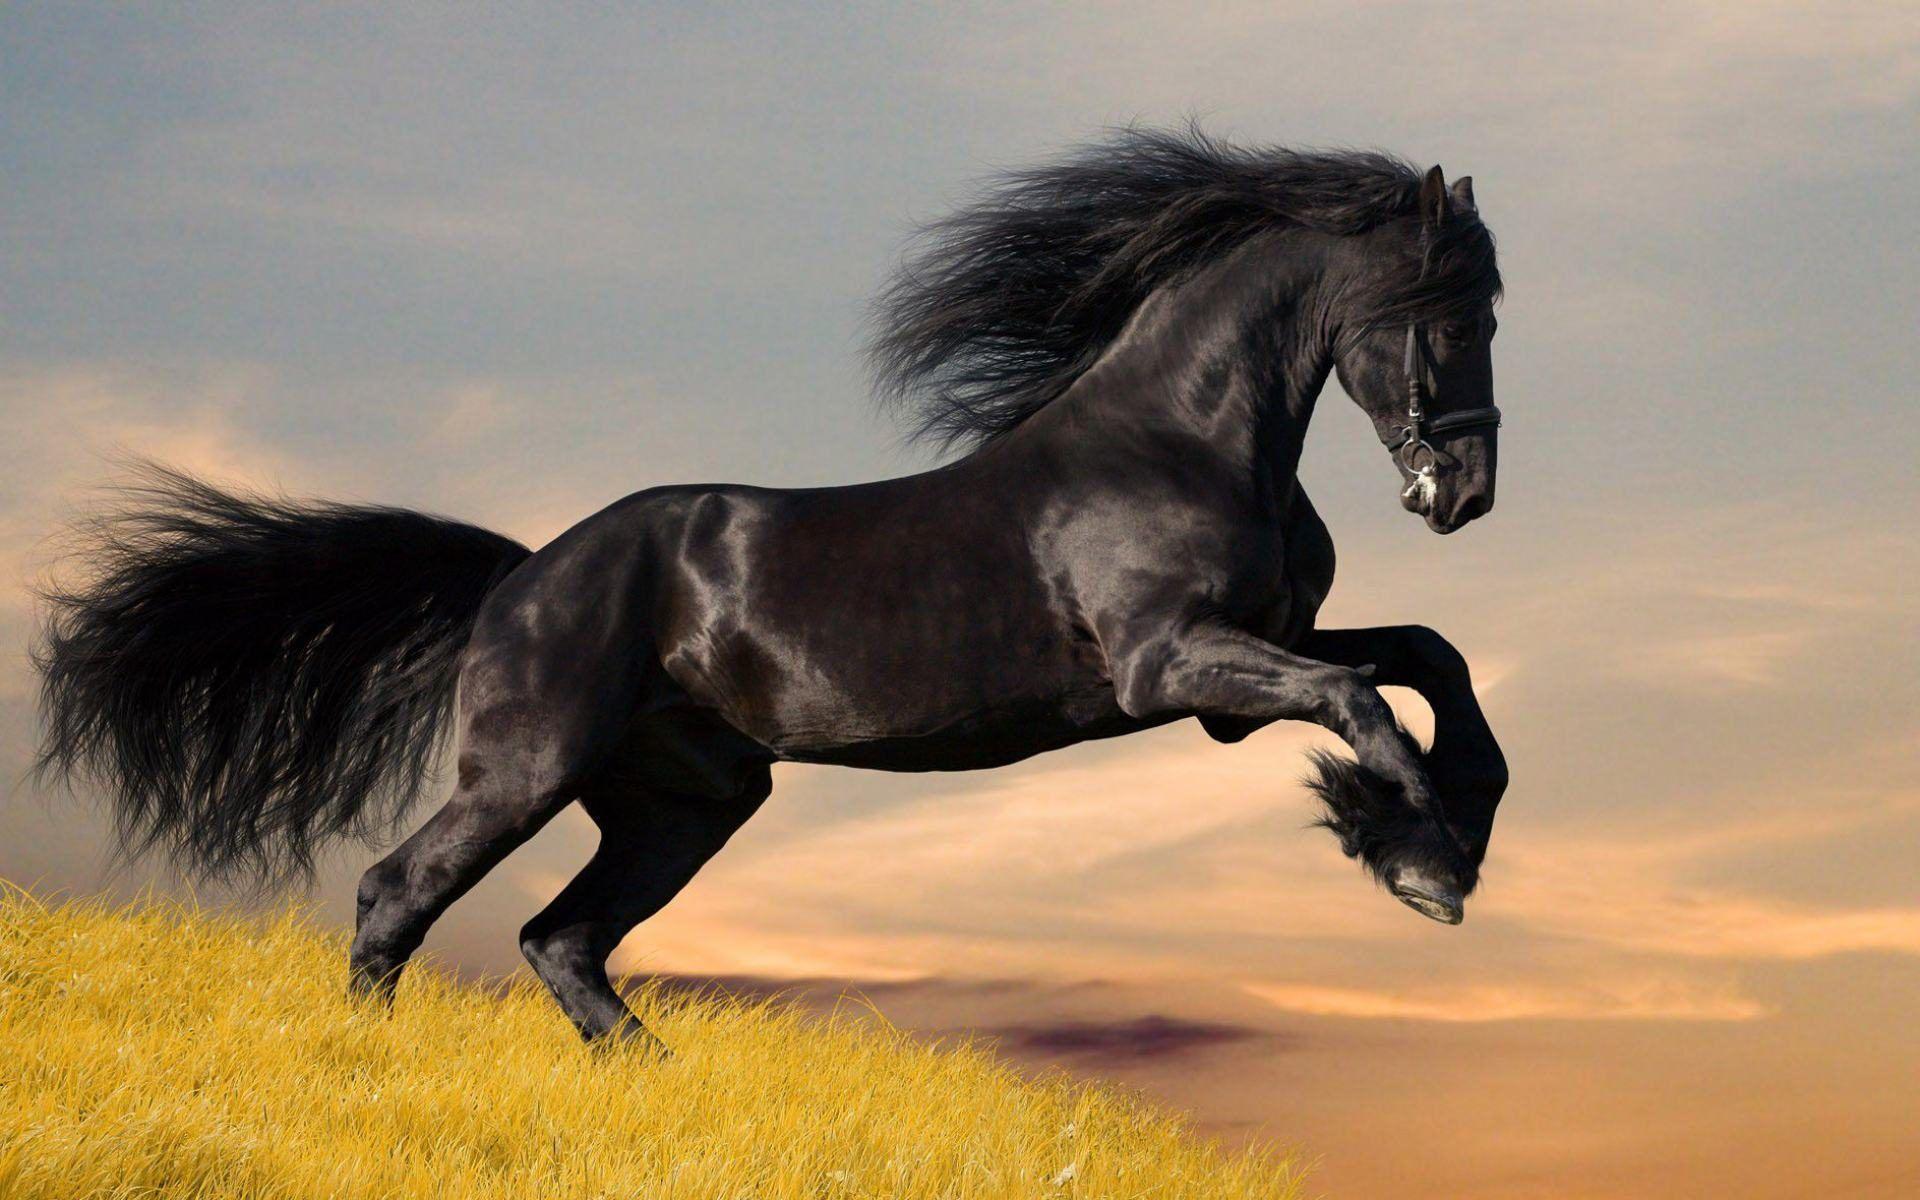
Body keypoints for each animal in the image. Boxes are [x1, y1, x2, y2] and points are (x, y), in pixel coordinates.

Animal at [34, 126, 1509, 1048]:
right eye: (1450, 314)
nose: (1467, 494)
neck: (1180, 438)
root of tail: (523, 575)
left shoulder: (1246, 663)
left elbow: (1426, 657)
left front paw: (1440, 831)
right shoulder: (1172, 667)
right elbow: (1363, 702)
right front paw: (1419, 860)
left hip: (686, 802)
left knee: (562, 940)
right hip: (528, 769)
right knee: (401, 894)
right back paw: (374, 1063)